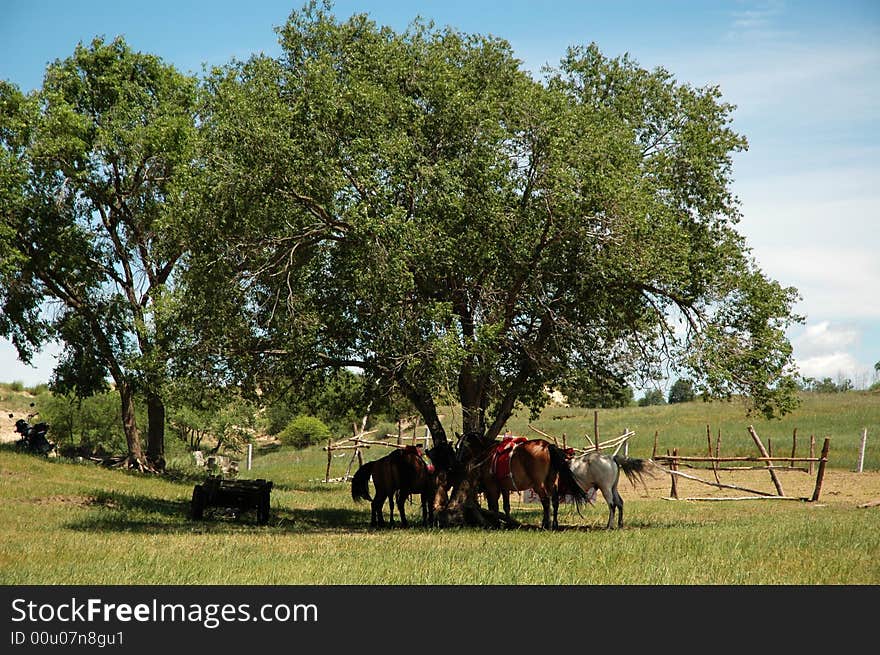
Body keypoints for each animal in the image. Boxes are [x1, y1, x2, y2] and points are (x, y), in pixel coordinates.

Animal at [458, 434, 588, 532]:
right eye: (456, 446)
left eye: (462, 447)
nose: (458, 461)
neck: (488, 453)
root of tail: (546, 446)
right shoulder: (505, 487)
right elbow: (506, 506)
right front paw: (508, 523)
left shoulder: (492, 487)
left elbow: (493, 506)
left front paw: (496, 524)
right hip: (551, 482)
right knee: (555, 501)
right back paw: (554, 524)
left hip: (538, 485)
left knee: (546, 501)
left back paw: (546, 524)